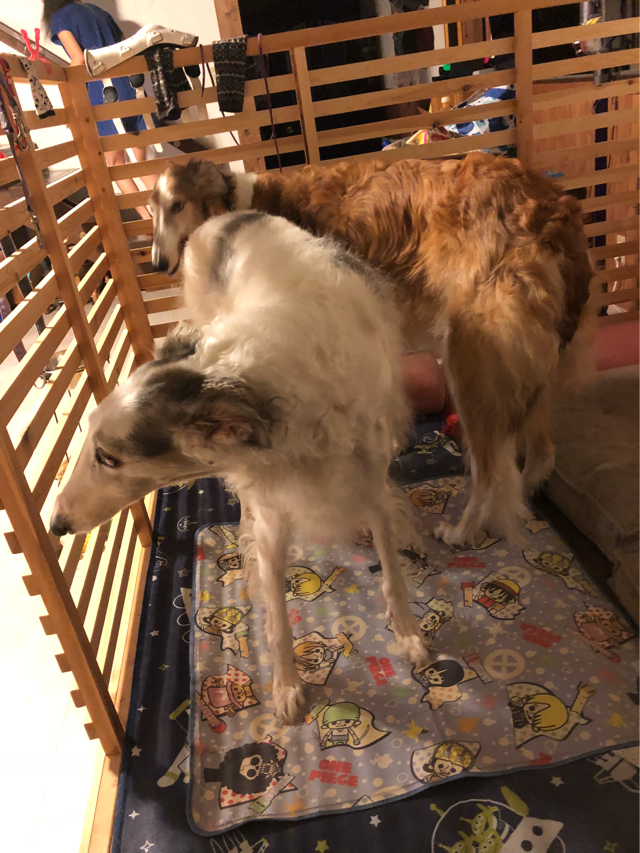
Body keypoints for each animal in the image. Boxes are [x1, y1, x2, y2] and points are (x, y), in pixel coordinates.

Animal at [51, 212, 430, 723]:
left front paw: (408, 634)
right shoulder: (272, 511)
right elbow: (276, 610)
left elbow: (391, 570)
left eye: (109, 457)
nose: (56, 524)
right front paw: (287, 687)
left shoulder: (368, 480)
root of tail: (224, 216)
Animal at [150, 153, 594, 547]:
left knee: (493, 475)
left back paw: (461, 532)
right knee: (541, 456)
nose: (156, 263)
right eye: (152, 211)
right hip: (530, 364)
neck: (234, 204)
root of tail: (555, 209)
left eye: (177, 205)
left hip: (471, 362)